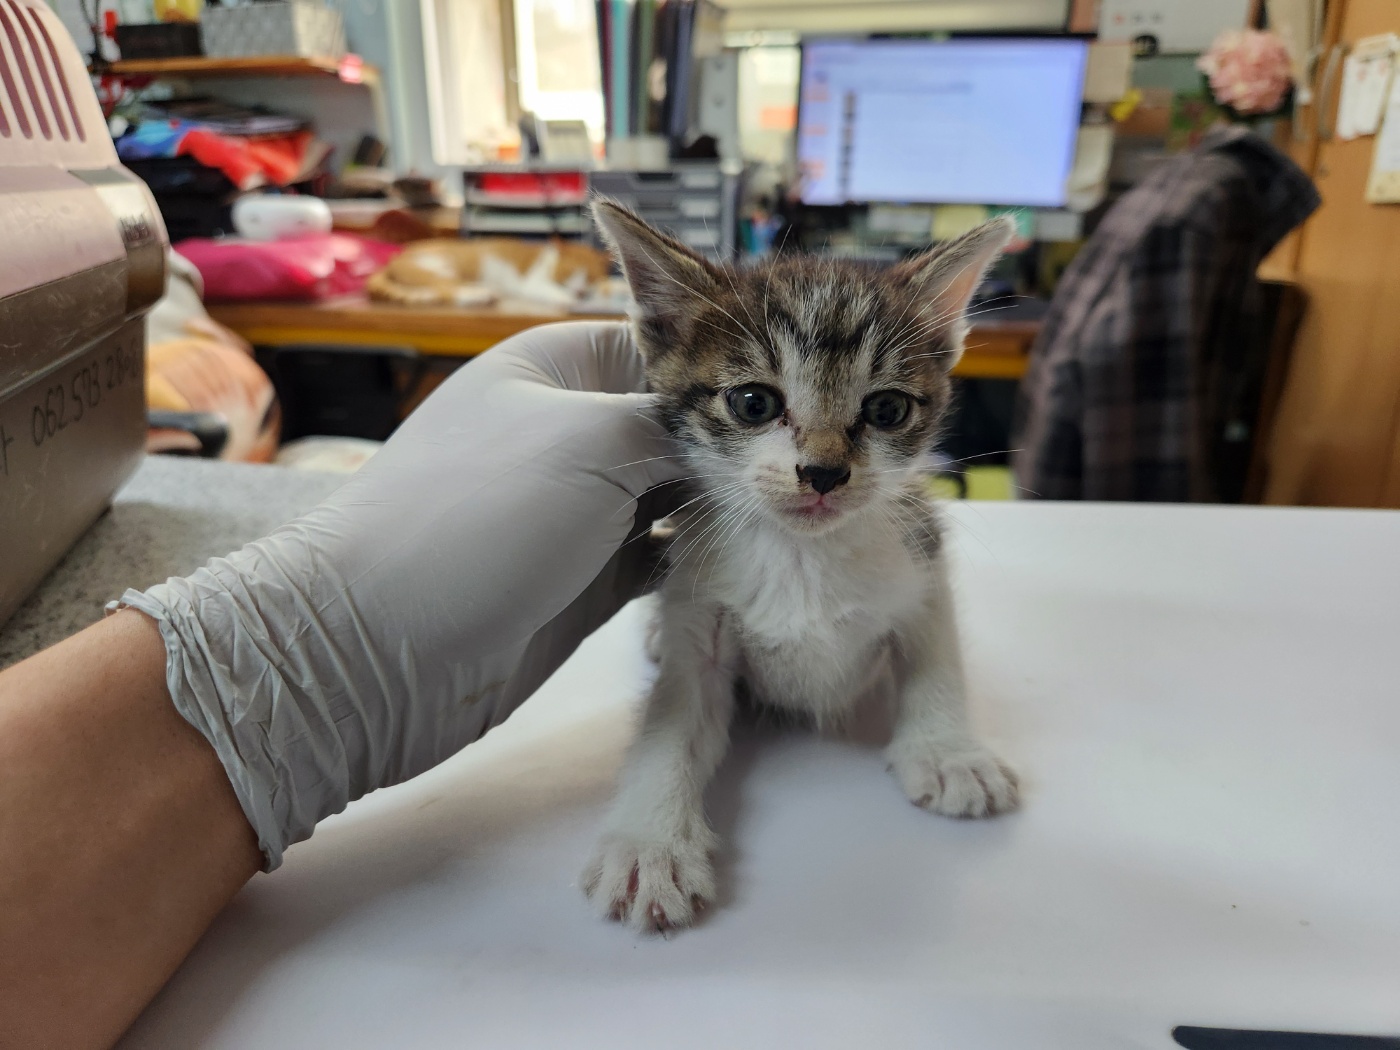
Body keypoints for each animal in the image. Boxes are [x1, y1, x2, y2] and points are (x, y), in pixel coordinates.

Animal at [579, 201, 1019, 935]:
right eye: (753, 403)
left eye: (887, 409)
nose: (823, 472)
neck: (801, 555)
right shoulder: (700, 606)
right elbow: (672, 719)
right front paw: (650, 839)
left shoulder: (918, 547)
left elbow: (935, 648)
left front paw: (948, 750)